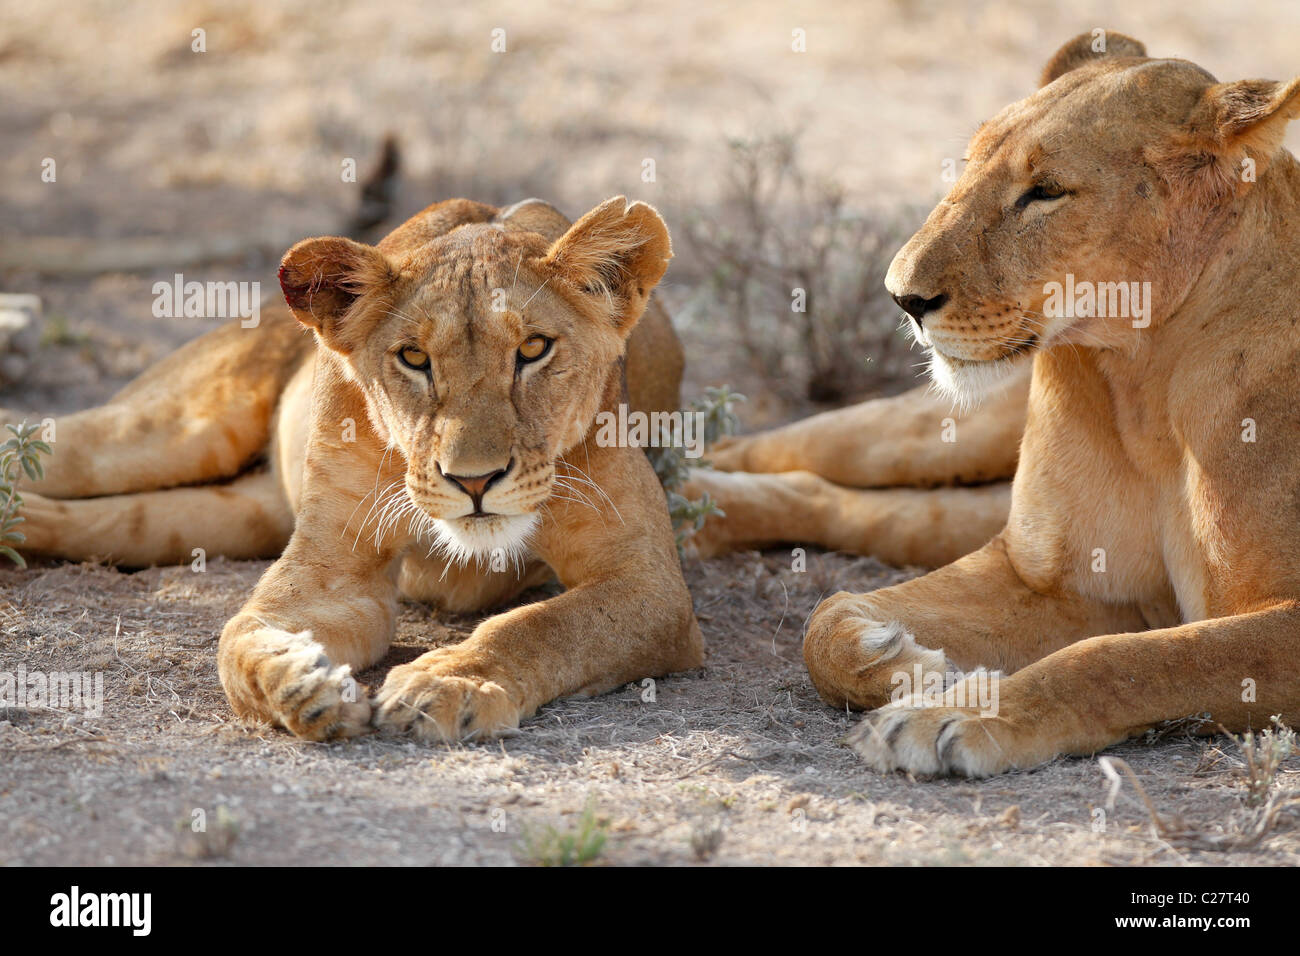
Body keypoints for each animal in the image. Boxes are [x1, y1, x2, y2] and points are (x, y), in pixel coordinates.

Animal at [9, 195, 703, 741]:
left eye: (533, 349)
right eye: (414, 357)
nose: (473, 481)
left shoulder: (649, 586)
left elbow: (541, 625)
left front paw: (450, 681)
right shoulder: (332, 570)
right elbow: (238, 636)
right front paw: (298, 682)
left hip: (216, 517)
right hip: (172, 429)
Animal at [692, 31, 1300, 776]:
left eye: (1045, 192)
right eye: (970, 164)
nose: (902, 297)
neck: (1141, 377)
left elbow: (1128, 660)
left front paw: (956, 714)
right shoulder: (1043, 578)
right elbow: (824, 616)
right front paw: (899, 661)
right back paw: (685, 492)